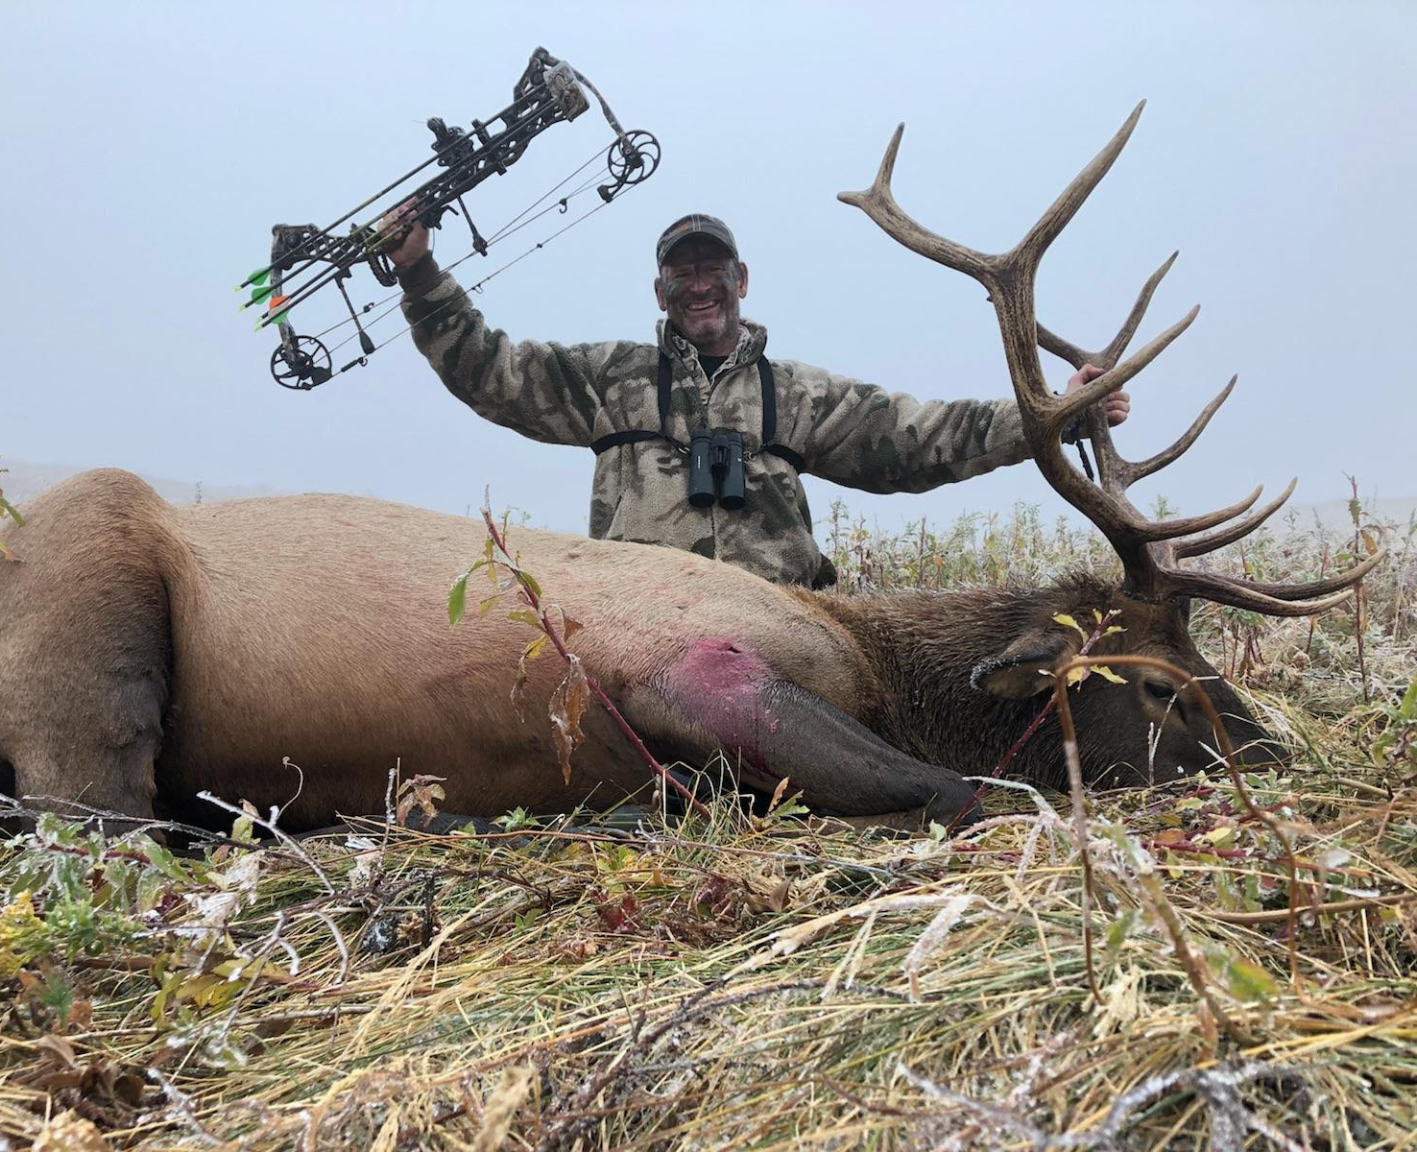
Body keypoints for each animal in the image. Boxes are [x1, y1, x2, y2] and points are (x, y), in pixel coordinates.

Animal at [0, 103, 1377, 835]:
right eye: (1152, 687)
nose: (1283, 761)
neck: (890, 670)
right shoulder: (694, 665)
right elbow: (971, 792)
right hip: (94, 578)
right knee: (98, 805)